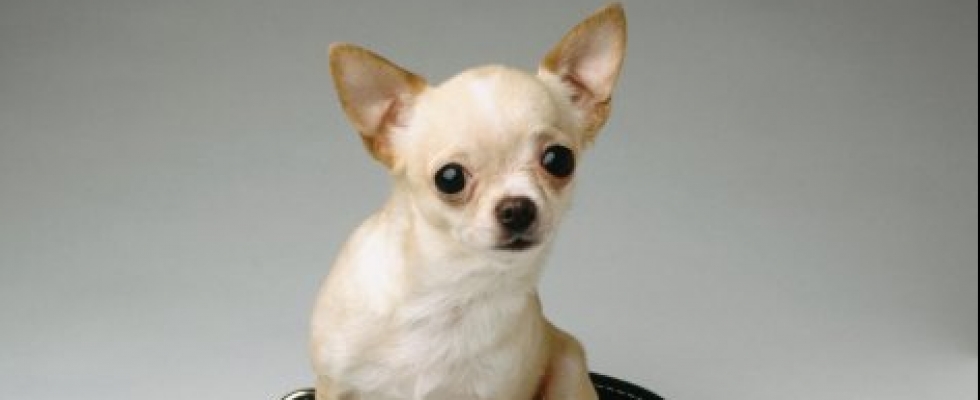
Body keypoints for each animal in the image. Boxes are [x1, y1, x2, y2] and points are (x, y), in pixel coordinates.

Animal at [311, 4, 626, 399]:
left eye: (559, 160)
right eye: (450, 178)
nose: (517, 208)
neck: (451, 290)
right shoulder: (334, 383)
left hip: (569, 365)